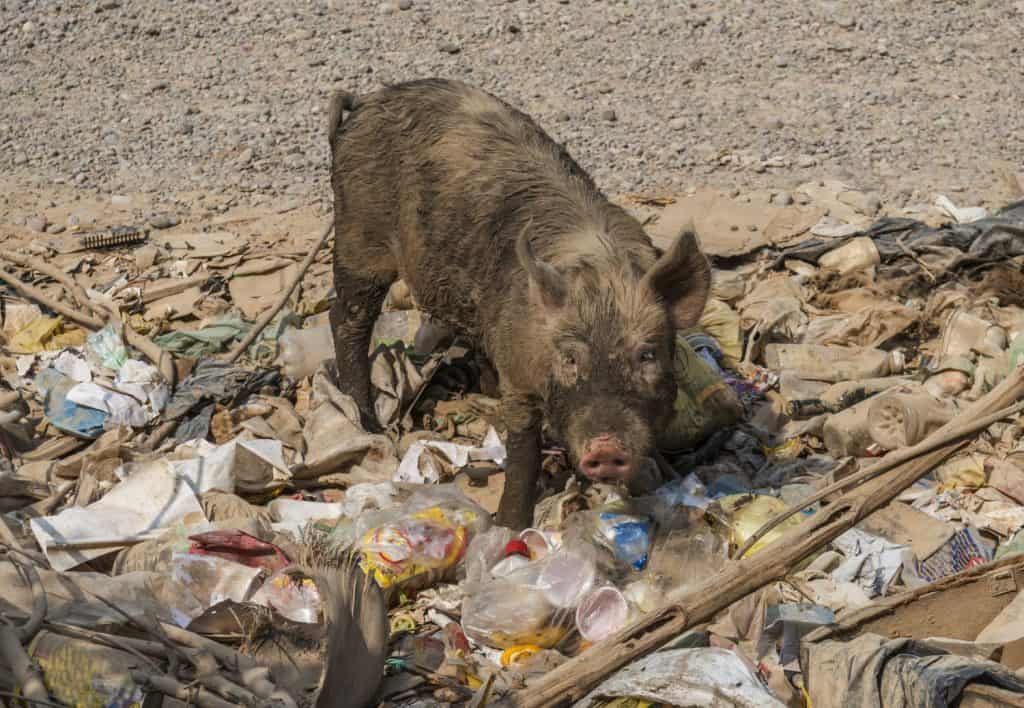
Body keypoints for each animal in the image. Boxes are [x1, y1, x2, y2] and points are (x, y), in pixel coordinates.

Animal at [327, 79, 710, 530]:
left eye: (647, 355)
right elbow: (523, 452)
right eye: (569, 359)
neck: (602, 275)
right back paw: (368, 423)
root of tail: (366, 102)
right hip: (358, 237)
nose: (605, 448)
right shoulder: (520, 378)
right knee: (346, 319)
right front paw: (510, 527)